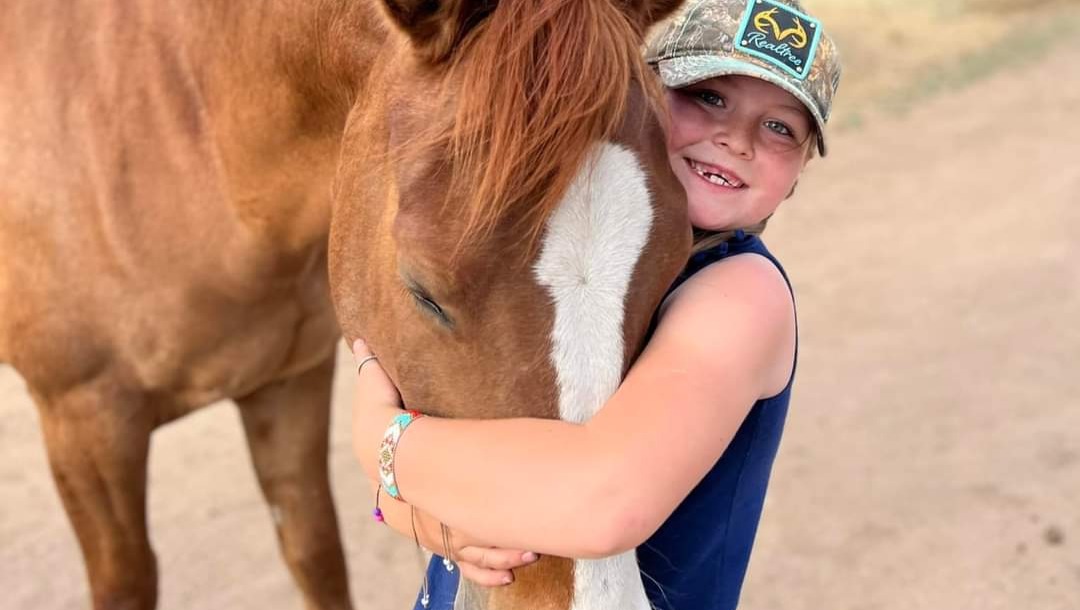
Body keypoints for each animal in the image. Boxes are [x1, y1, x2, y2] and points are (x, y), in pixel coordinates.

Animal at [0, 1, 690, 609]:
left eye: (674, 265)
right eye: (422, 291)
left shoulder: (288, 383)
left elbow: (316, 553)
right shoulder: (86, 422)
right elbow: (128, 583)